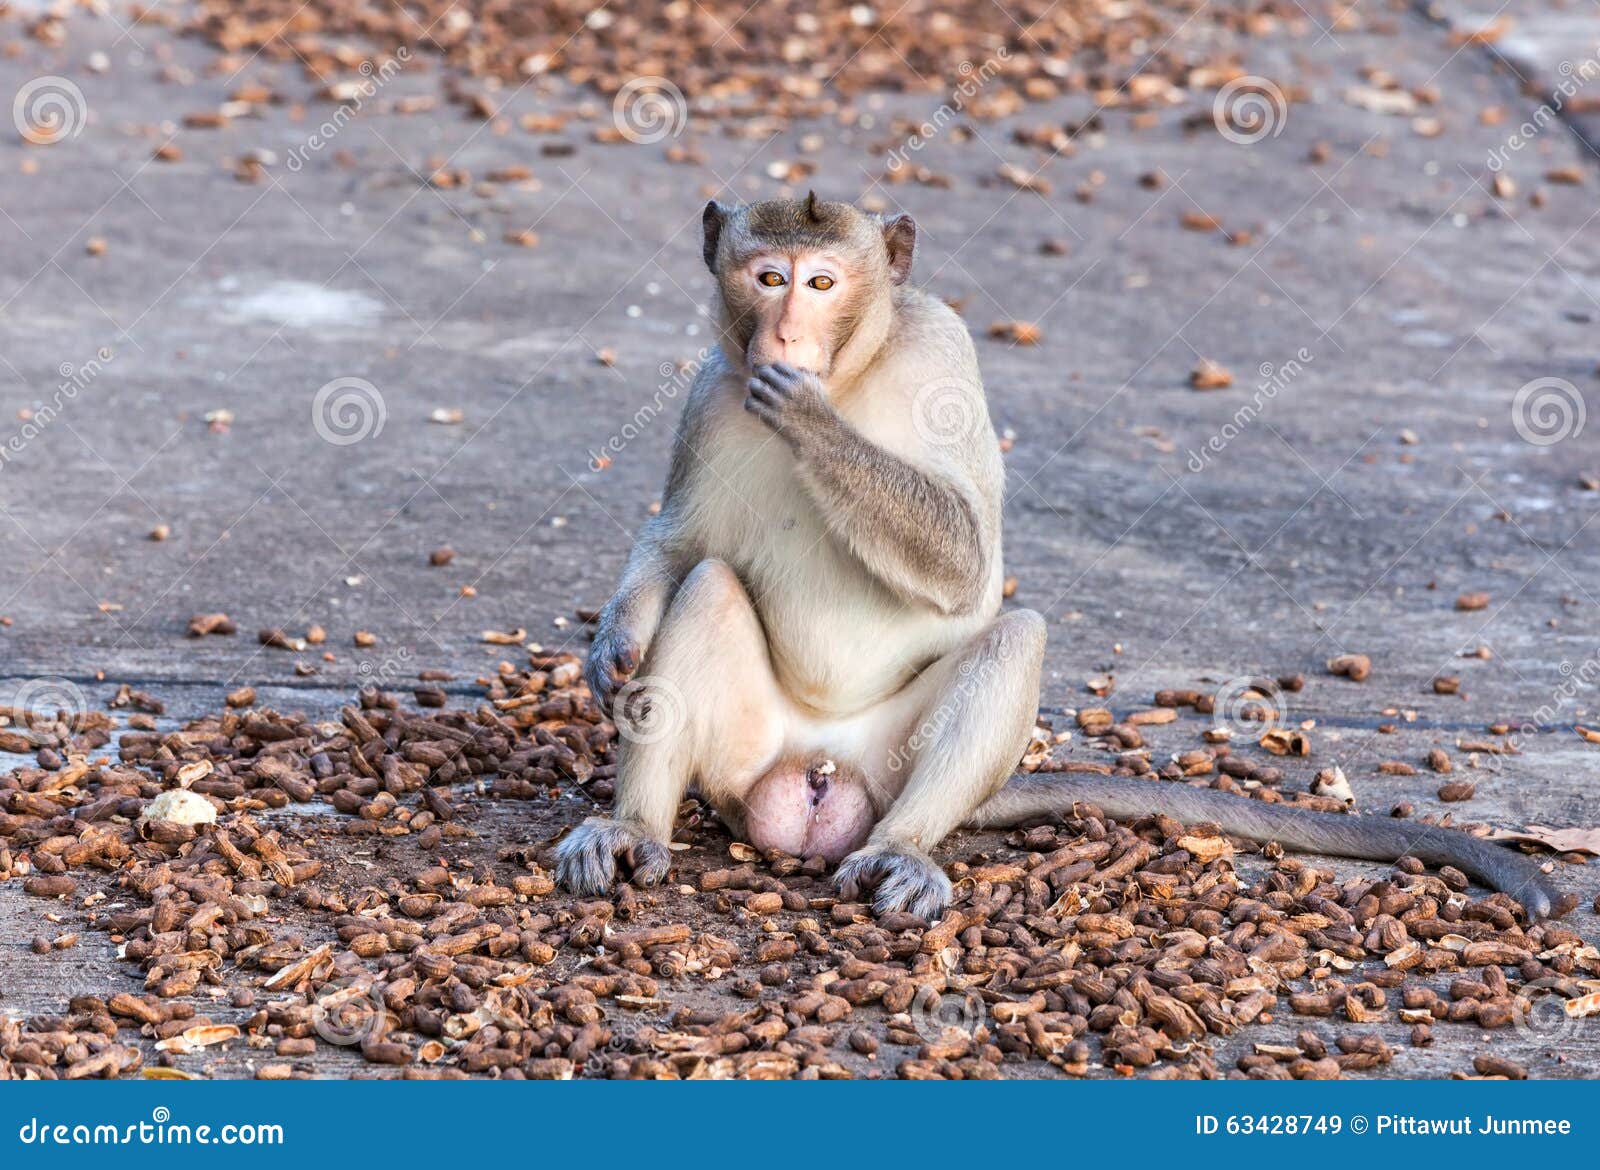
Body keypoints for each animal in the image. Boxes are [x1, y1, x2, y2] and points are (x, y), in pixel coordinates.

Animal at [556, 192, 1564, 922]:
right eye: (768, 276)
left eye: (822, 282)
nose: (786, 334)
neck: (853, 370)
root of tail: (819, 765)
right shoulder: (709, 393)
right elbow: (680, 544)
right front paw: (615, 646)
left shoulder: (944, 353)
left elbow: (966, 561)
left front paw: (810, 421)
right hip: (746, 761)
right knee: (710, 589)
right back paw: (631, 830)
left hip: (888, 766)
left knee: (1012, 639)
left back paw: (902, 850)